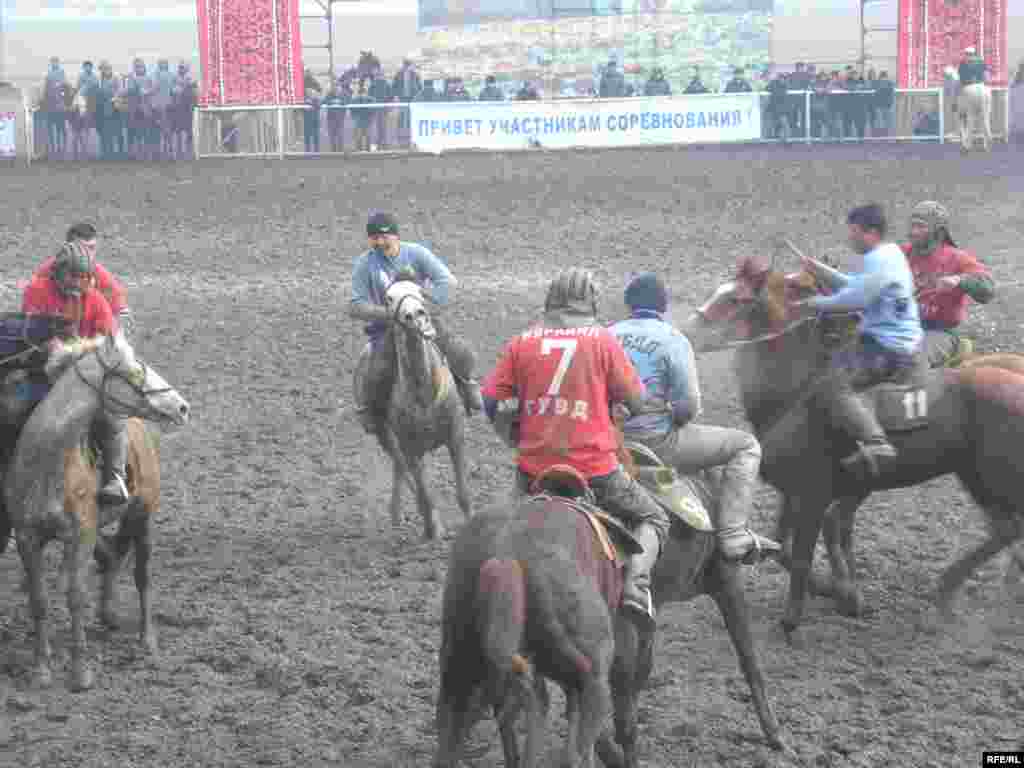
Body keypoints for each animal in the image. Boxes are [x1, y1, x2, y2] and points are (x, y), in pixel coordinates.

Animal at [3, 331, 190, 692]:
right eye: (134, 372)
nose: (181, 406)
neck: (48, 462)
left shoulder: (80, 535)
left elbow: (76, 596)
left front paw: (80, 672)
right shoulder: (28, 538)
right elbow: (39, 599)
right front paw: (42, 668)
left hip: (142, 516)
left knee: (142, 575)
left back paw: (147, 640)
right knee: (112, 556)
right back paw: (108, 613)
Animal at [370, 280, 473, 540]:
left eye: (419, 291)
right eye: (388, 298)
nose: (415, 315)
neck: (424, 394)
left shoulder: (456, 437)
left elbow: (463, 492)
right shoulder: (411, 448)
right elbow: (426, 494)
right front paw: (433, 530)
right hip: (390, 440)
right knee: (402, 472)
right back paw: (399, 516)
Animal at [432, 442, 782, 765]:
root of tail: (506, 555)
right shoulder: (722, 583)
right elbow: (747, 657)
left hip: (463, 666)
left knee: (455, 731)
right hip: (592, 672)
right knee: (577, 745)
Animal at [684, 260, 1024, 643]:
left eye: (735, 299)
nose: (687, 330)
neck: (797, 396)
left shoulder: (815, 493)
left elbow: (802, 550)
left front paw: (799, 615)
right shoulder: (801, 491)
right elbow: (784, 543)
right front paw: (838, 590)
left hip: (992, 476)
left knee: (1008, 529)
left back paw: (949, 593)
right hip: (977, 476)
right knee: (1007, 529)